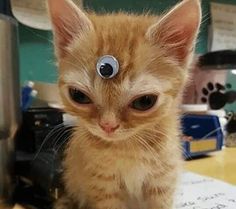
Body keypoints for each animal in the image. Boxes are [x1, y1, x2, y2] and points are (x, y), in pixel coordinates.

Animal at [47, 0, 201, 209]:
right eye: (78, 95)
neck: (127, 148)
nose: (108, 126)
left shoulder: (163, 182)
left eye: (145, 101)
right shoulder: (103, 187)